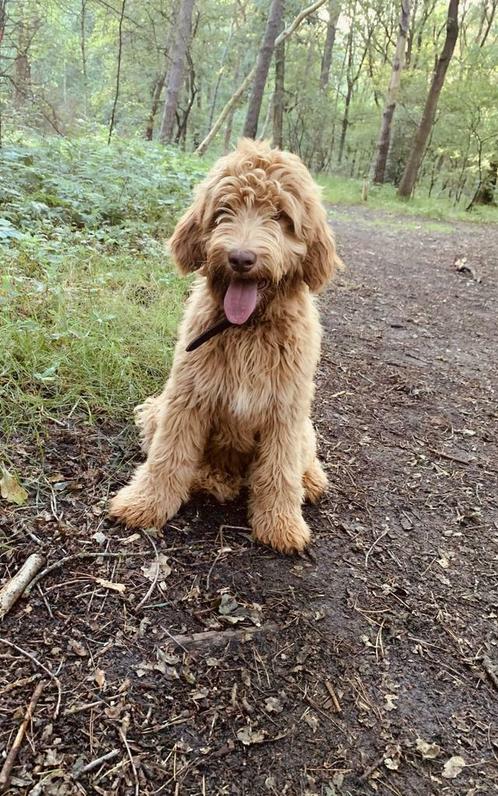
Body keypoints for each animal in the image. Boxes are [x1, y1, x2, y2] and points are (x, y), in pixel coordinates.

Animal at [110, 138, 342, 552]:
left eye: (280, 216)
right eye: (224, 211)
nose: (240, 258)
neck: (245, 329)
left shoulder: (285, 410)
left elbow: (281, 470)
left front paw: (282, 525)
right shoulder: (185, 397)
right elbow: (167, 457)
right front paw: (144, 503)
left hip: (303, 423)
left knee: (304, 455)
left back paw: (311, 479)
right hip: (156, 409)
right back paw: (211, 480)